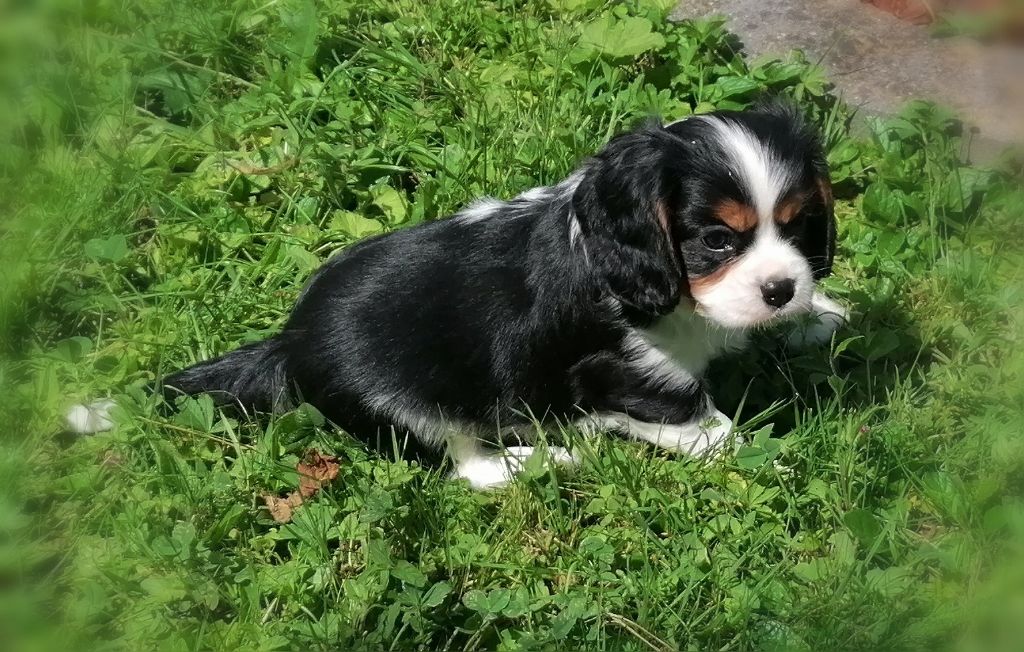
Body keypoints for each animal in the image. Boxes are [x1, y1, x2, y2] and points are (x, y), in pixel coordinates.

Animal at [67, 104, 847, 489]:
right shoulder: (627, 375)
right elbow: (704, 426)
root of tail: (287, 344)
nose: (780, 289)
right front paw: (771, 461)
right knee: (465, 467)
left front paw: (819, 316)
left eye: (799, 224)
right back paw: (535, 461)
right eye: (716, 240)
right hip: (414, 408)